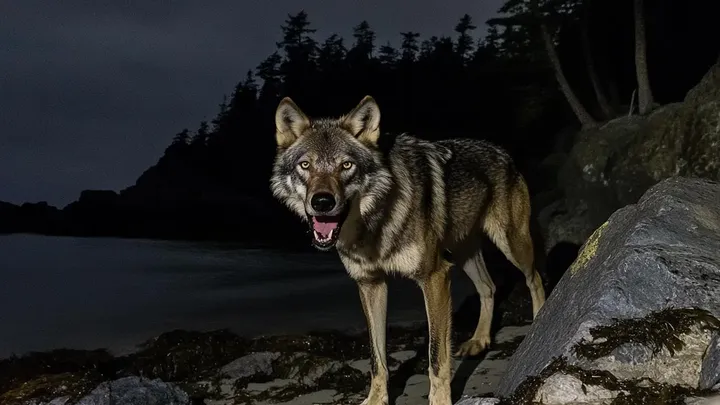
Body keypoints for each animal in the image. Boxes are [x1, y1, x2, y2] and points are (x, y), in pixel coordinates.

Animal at [269, 95, 546, 405]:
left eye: (346, 165)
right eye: (305, 165)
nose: (322, 202)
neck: (375, 223)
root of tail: (501, 150)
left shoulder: (435, 277)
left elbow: (436, 356)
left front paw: (440, 400)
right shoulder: (371, 284)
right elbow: (377, 358)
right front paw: (375, 399)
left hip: (512, 244)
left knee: (534, 278)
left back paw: (539, 322)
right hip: (464, 254)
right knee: (488, 287)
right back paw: (479, 341)